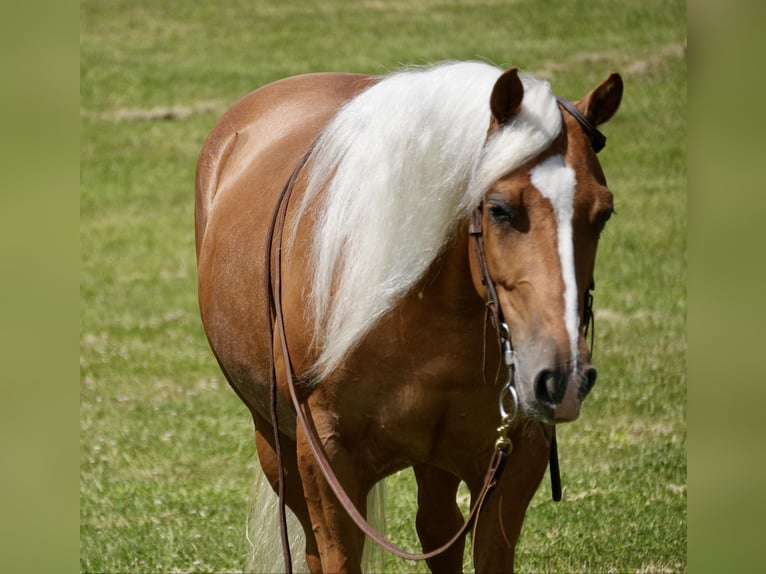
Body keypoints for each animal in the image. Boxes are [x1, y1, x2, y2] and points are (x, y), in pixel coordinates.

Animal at [195, 60, 620, 572]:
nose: (560, 374)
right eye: (499, 209)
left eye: (603, 213)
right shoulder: (326, 461)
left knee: (437, 529)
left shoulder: (516, 458)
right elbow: (336, 556)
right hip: (275, 444)